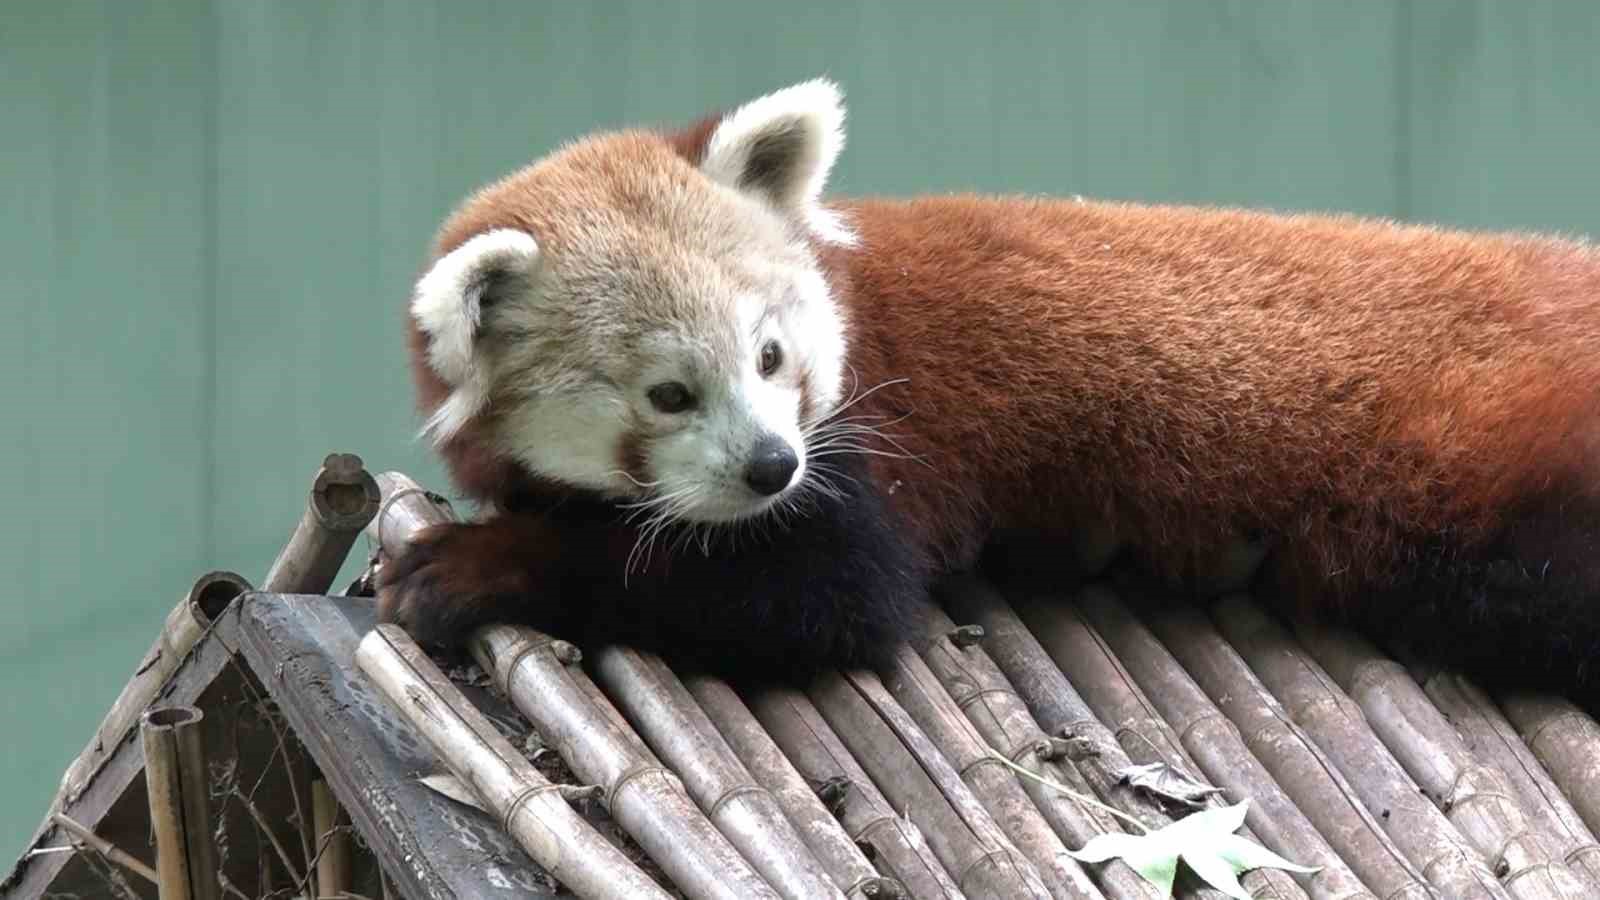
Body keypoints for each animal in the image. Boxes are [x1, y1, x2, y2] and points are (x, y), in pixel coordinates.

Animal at [384, 76, 1600, 695]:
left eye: (771, 359)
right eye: (668, 396)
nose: (771, 466)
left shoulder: (881, 443)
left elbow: (833, 592)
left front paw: (471, 566)